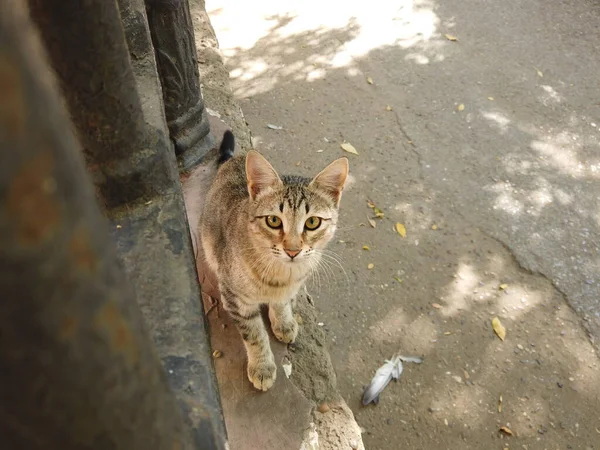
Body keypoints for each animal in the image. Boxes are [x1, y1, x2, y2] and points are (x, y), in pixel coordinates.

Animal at [199, 131, 350, 390]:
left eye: (313, 222)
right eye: (273, 220)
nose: (292, 250)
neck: (281, 276)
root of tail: (234, 159)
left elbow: (281, 303)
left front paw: (283, 321)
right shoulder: (236, 300)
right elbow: (255, 335)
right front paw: (262, 367)